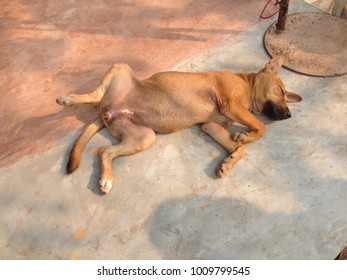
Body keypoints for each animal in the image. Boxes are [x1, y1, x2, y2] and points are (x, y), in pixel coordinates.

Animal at [56, 55, 302, 194]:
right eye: (281, 91)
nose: (289, 115)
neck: (247, 85)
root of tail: (109, 110)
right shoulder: (231, 105)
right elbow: (261, 127)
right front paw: (247, 136)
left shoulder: (211, 126)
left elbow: (238, 149)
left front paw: (229, 161)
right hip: (120, 68)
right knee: (95, 96)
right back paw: (68, 99)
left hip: (144, 137)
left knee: (105, 151)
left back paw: (106, 179)